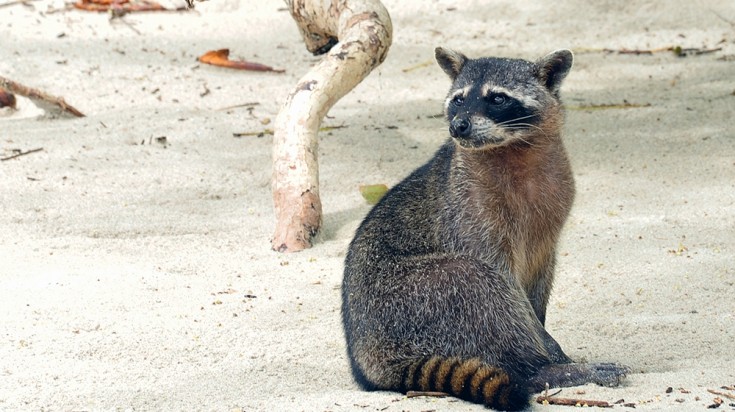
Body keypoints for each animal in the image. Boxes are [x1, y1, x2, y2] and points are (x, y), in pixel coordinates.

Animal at [342, 47, 628, 408]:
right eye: (459, 100)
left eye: (498, 98)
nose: (458, 126)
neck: (514, 148)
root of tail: (367, 359)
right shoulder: (469, 212)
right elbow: (504, 282)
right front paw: (548, 351)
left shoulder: (550, 220)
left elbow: (537, 283)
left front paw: (549, 340)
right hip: (410, 299)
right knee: (475, 282)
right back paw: (539, 371)